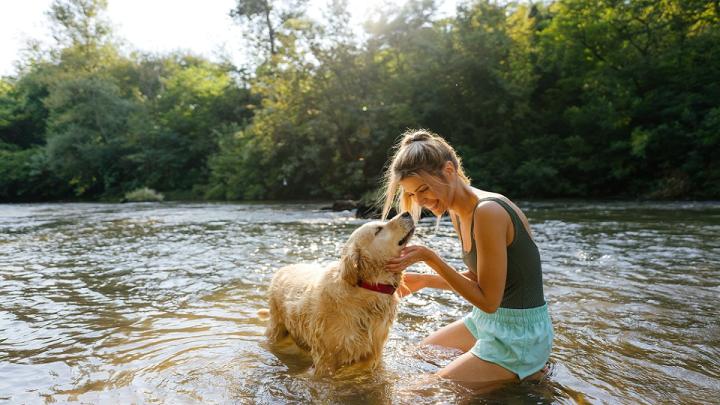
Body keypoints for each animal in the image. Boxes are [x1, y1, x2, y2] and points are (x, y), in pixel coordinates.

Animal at [266, 211, 414, 376]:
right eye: (378, 229)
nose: (406, 213)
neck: (367, 288)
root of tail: (283, 268)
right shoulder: (325, 357)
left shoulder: (374, 352)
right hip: (277, 329)